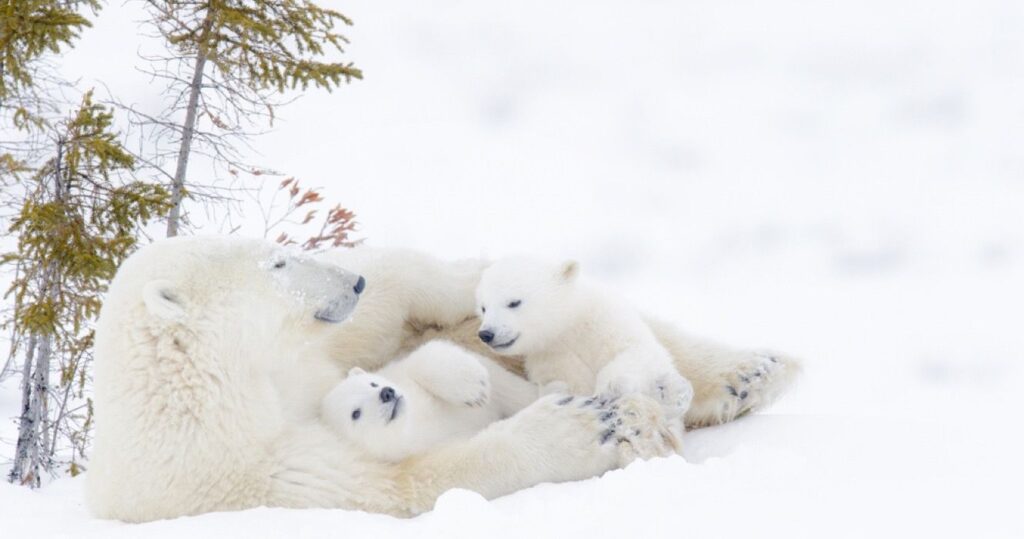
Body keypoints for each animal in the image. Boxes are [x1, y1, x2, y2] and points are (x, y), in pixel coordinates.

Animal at [321, 340, 539, 462]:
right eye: (355, 413)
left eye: (372, 383)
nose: (387, 393)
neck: (415, 420)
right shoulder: (427, 446)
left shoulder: (402, 373)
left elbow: (424, 356)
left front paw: (473, 389)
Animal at [474, 257, 694, 421]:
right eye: (484, 307)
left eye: (514, 302)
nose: (486, 333)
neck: (569, 326)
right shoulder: (551, 358)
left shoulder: (607, 322)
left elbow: (639, 353)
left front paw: (611, 388)